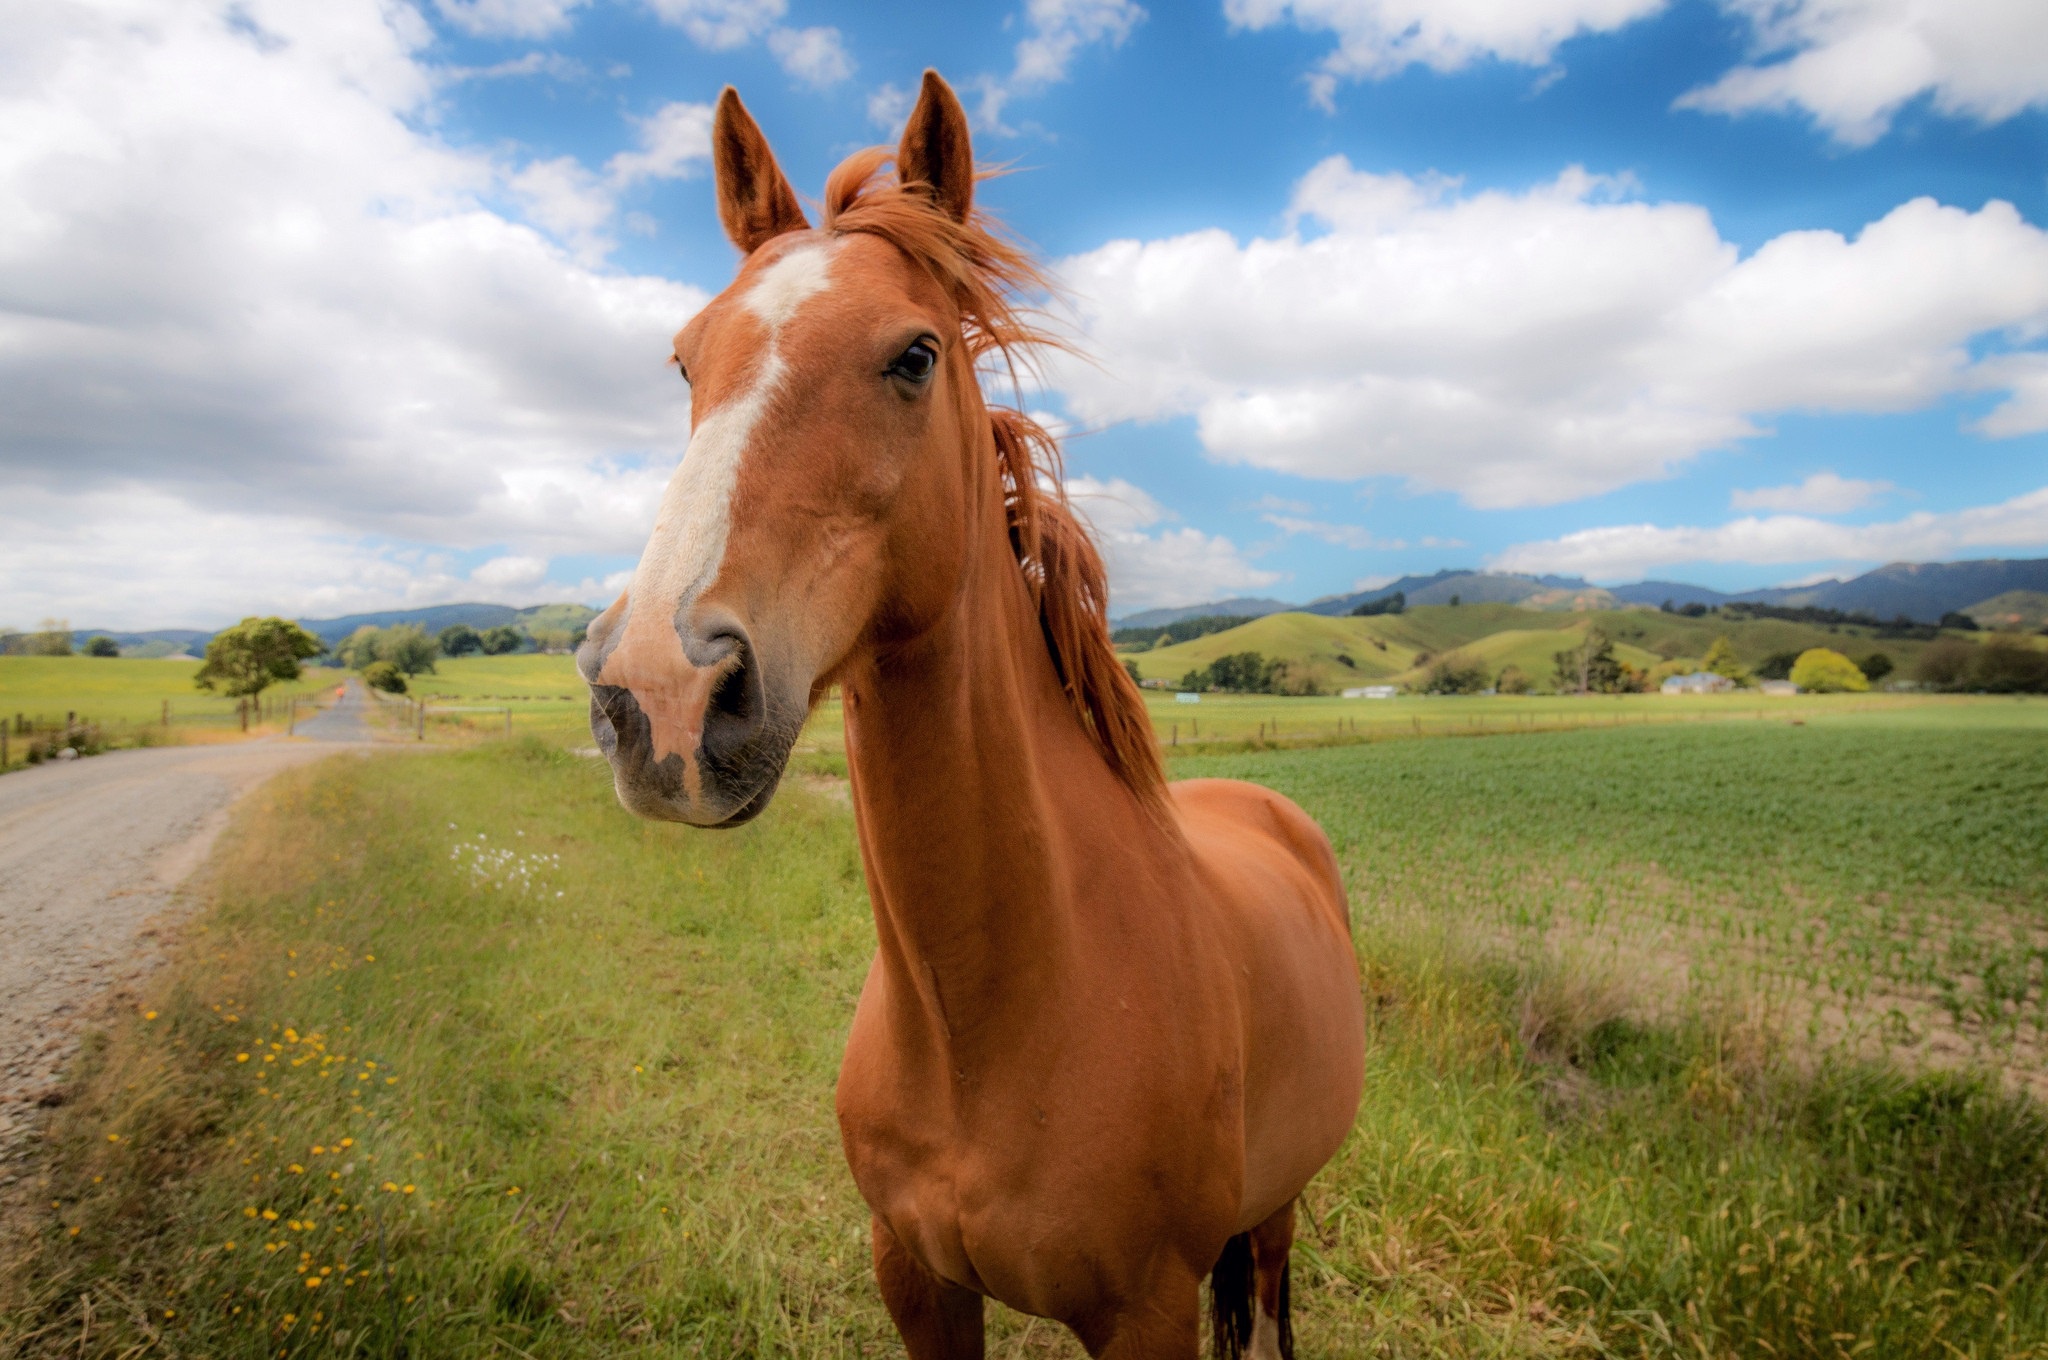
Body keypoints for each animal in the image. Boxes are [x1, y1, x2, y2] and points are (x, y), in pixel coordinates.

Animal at [577, 76, 1368, 1360]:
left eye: (913, 355)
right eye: (684, 361)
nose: (660, 693)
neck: (983, 1026)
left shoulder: (1146, 1313)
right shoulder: (913, 1276)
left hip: (1279, 1209)